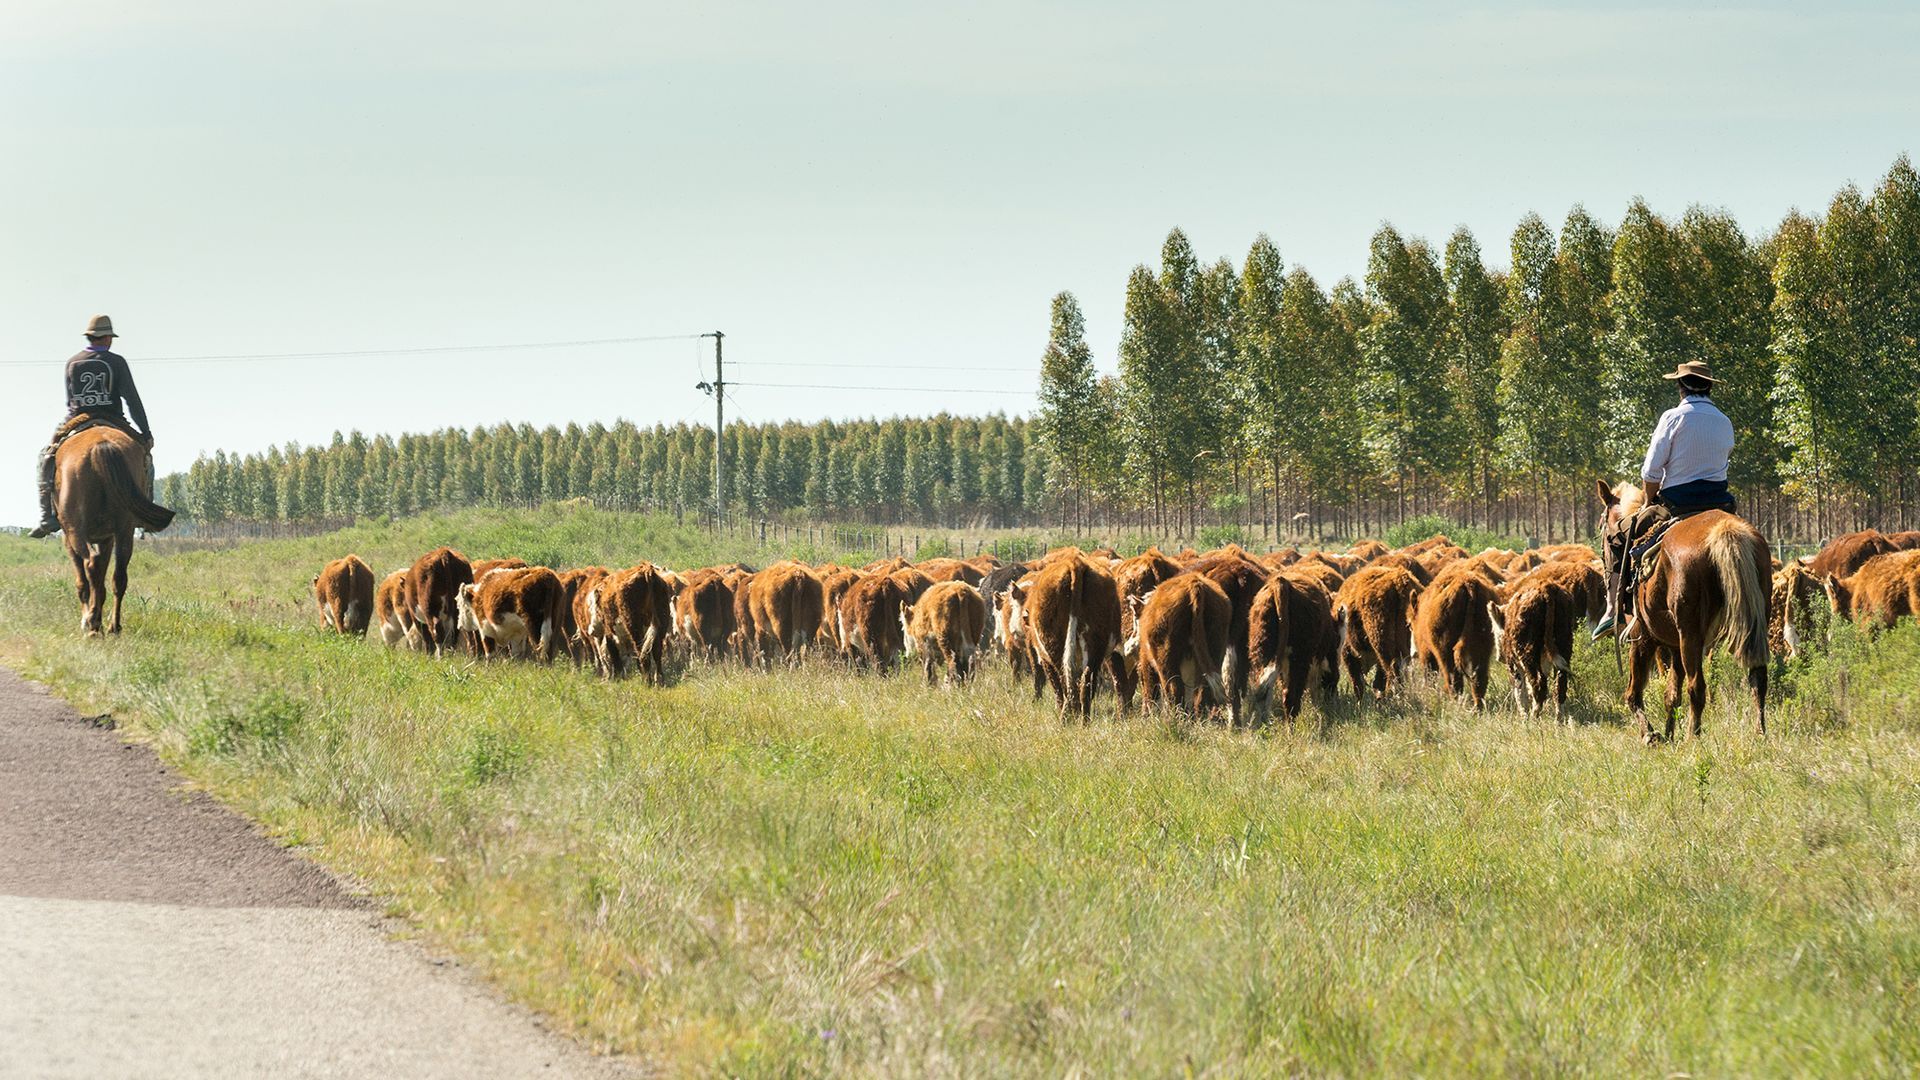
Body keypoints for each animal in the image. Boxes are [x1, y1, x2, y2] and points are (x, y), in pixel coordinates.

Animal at [1007, 554, 1123, 720]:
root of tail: (1075, 564)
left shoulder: (1043, 658)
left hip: (1055, 648)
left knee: (1065, 683)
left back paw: (1066, 717)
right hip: (1095, 648)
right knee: (1085, 683)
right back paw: (1083, 719)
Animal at [1129, 572, 1230, 716]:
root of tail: (1194, 583)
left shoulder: (1145, 660)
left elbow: (1149, 686)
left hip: (1165, 657)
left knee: (1173, 688)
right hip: (1214, 649)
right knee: (1204, 690)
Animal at [1332, 566, 1422, 699]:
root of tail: (1399, 580)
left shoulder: (1348, 653)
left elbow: (1358, 683)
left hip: (1382, 644)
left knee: (1392, 670)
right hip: (1402, 648)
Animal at [1411, 562, 1498, 709]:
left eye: (1410, 624)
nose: (1413, 652)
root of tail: (1468, 583)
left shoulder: (1426, 651)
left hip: (1445, 650)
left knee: (1453, 678)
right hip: (1483, 646)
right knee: (1478, 677)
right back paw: (1478, 707)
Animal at [1489, 580, 1577, 721]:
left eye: (1495, 631)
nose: (1499, 657)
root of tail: (1547, 586)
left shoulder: (1513, 664)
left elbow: (1520, 690)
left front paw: (1523, 714)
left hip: (1527, 654)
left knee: (1538, 685)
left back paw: (1533, 716)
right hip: (1564, 645)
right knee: (1560, 685)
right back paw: (1558, 719)